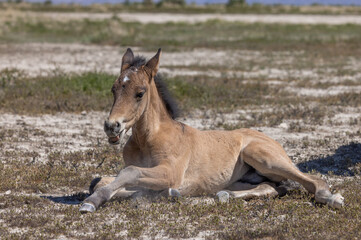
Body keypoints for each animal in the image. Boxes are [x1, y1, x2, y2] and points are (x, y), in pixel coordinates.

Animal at [79, 48, 344, 212]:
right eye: (113, 89)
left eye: (139, 93)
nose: (111, 126)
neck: (148, 139)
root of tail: (273, 141)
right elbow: (100, 180)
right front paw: (163, 194)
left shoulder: (171, 171)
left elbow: (129, 172)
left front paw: (91, 203)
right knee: (273, 187)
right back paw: (224, 195)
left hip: (262, 156)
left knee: (312, 180)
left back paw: (332, 197)